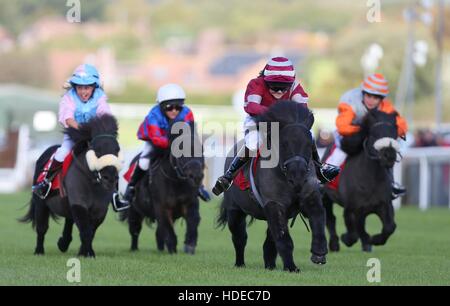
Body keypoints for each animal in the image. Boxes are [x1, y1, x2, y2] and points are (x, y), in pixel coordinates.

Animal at [21, 116, 121, 256]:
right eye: (97, 150)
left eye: (117, 150)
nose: (110, 177)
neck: (92, 181)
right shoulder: (79, 203)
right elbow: (85, 229)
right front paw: (88, 253)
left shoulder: (100, 209)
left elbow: (91, 230)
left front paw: (84, 251)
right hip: (41, 203)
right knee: (42, 228)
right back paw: (39, 251)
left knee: (69, 220)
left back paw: (63, 243)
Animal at [119, 120, 204, 255]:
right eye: (180, 149)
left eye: (201, 149)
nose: (197, 177)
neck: (175, 181)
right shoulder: (162, 208)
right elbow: (169, 231)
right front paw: (173, 250)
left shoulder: (190, 203)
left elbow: (193, 220)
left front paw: (190, 245)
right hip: (134, 210)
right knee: (135, 230)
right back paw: (134, 249)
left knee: (158, 233)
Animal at [217, 101, 326, 272]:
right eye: (284, 143)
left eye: (310, 145)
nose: (298, 175)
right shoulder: (274, 204)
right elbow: (284, 239)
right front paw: (291, 267)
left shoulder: (309, 197)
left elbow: (318, 217)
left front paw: (319, 253)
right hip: (235, 211)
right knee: (239, 237)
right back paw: (240, 263)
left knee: (269, 242)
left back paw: (270, 265)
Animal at [322, 109, 400, 252]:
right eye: (374, 134)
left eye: (394, 134)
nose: (389, 156)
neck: (370, 181)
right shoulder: (353, 208)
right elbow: (353, 232)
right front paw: (346, 239)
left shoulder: (384, 204)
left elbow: (390, 227)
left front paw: (374, 240)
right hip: (325, 197)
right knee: (330, 218)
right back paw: (334, 244)